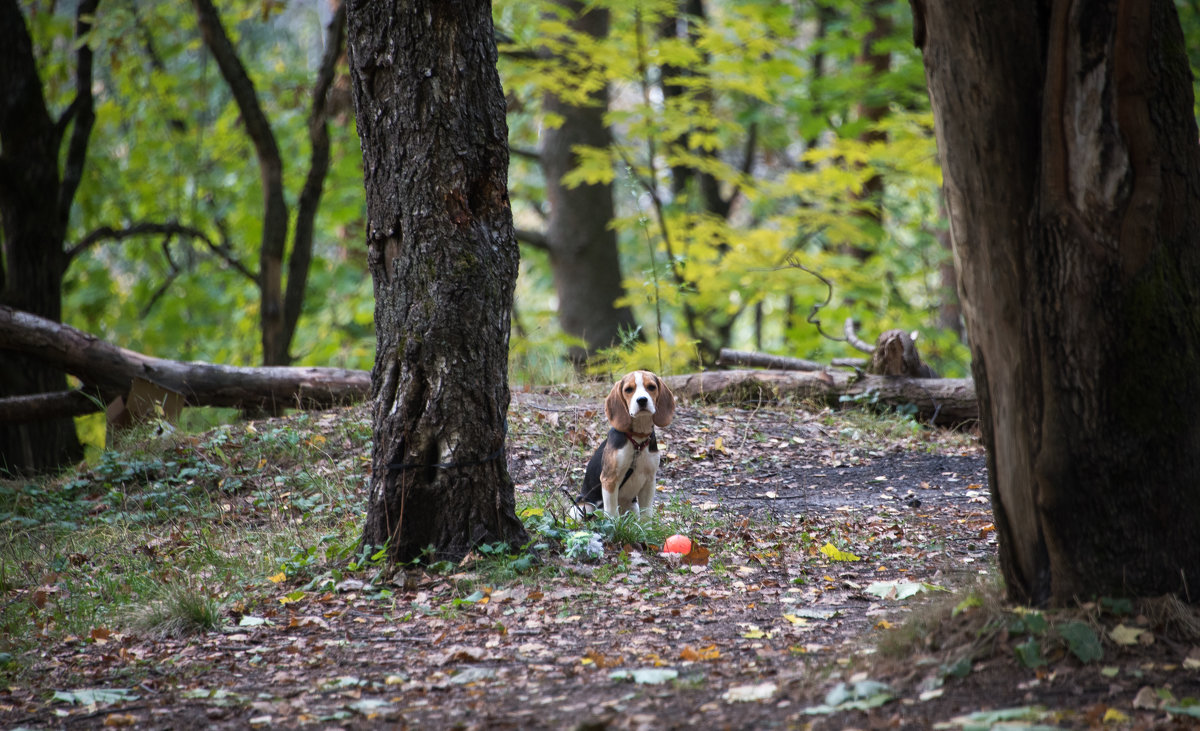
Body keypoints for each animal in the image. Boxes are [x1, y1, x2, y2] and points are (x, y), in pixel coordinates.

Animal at [571, 369, 676, 518]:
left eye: (651, 387)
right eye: (628, 389)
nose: (642, 400)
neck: (637, 439)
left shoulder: (650, 481)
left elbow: (646, 515)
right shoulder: (609, 479)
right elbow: (612, 514)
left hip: (633, 507)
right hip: (581, 509)